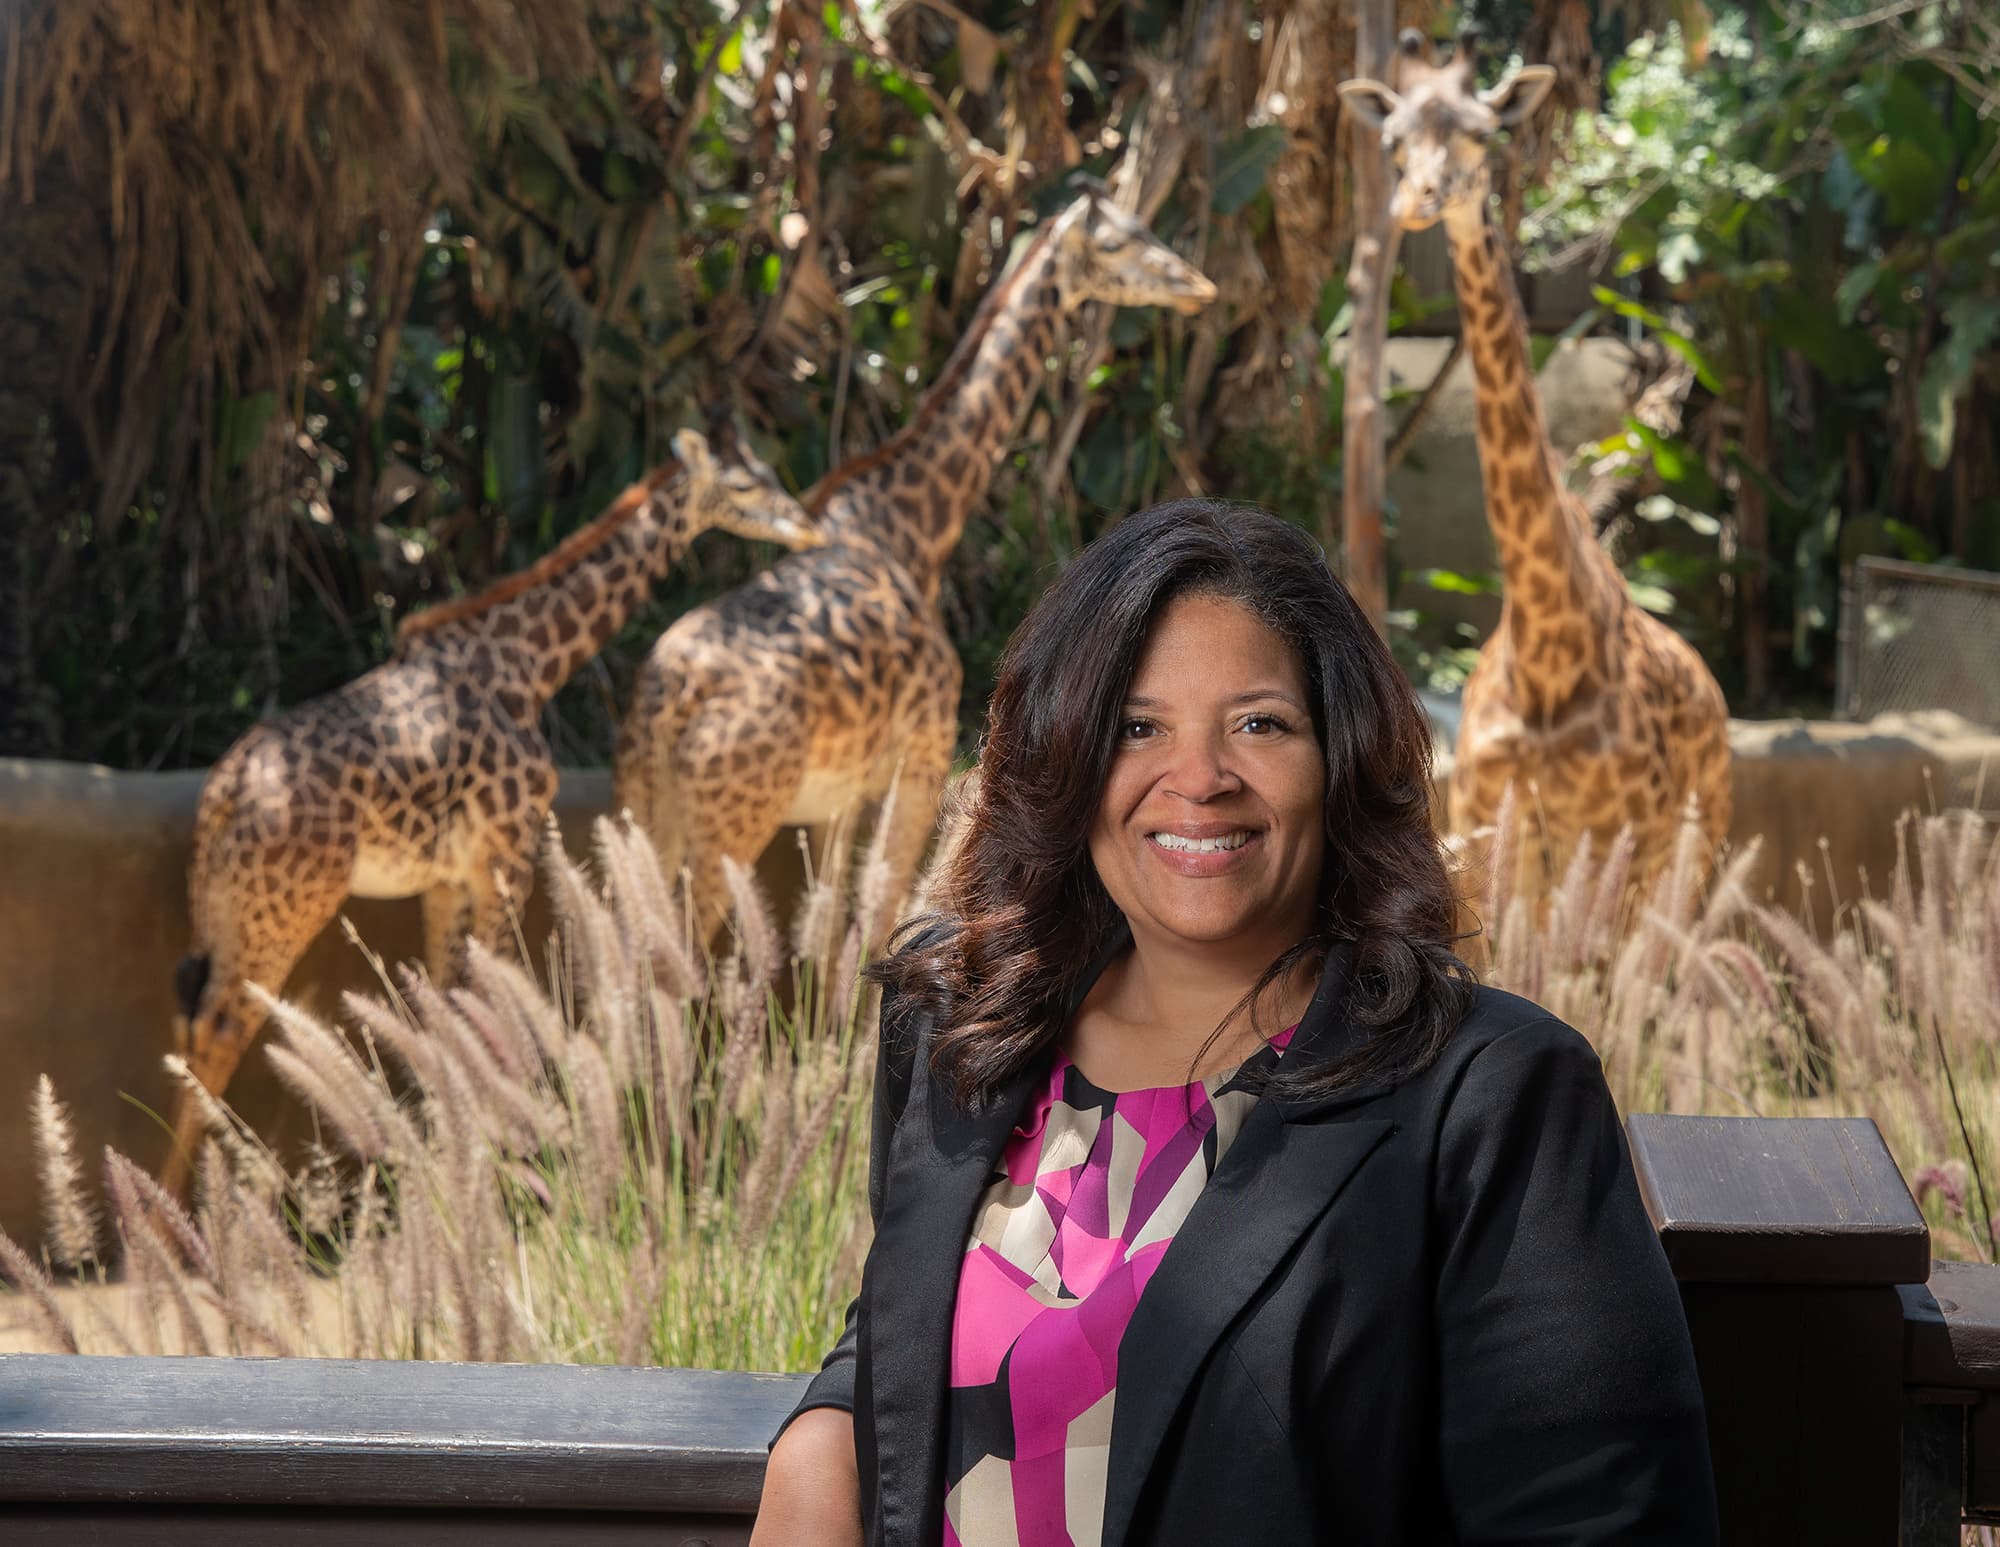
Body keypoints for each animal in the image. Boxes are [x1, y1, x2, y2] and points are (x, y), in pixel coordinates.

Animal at [166, 429, 820, 1191]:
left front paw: (453, 1166)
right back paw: (176, 1205)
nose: (804, 521)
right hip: (283, 909)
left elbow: (447, 1015)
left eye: (769, 469)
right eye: (743, 485)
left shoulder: (449, 875)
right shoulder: (507, 855)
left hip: (226, 910)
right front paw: (504, 1169)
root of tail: (223, 793)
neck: (530, 663)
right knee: (219, 1030)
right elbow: (491, 1007)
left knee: (188, 1027)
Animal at [612, 193, 1216, 943]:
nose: (1197, 286)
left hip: (647, 808)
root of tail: (669, 695)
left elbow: (833, 935)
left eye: (1146, 228)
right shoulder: (919, 761)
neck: (917, 528)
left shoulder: (843, 794)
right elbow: (882, 920)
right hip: (732, 817)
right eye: (1113, 245)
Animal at [1344, 45, 1736, 895]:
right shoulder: (1491, 826)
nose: (1421, 201)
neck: (1547, 652)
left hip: (1685, 853)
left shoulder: (1621, 832)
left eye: (1483, 133)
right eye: (1392, 140)